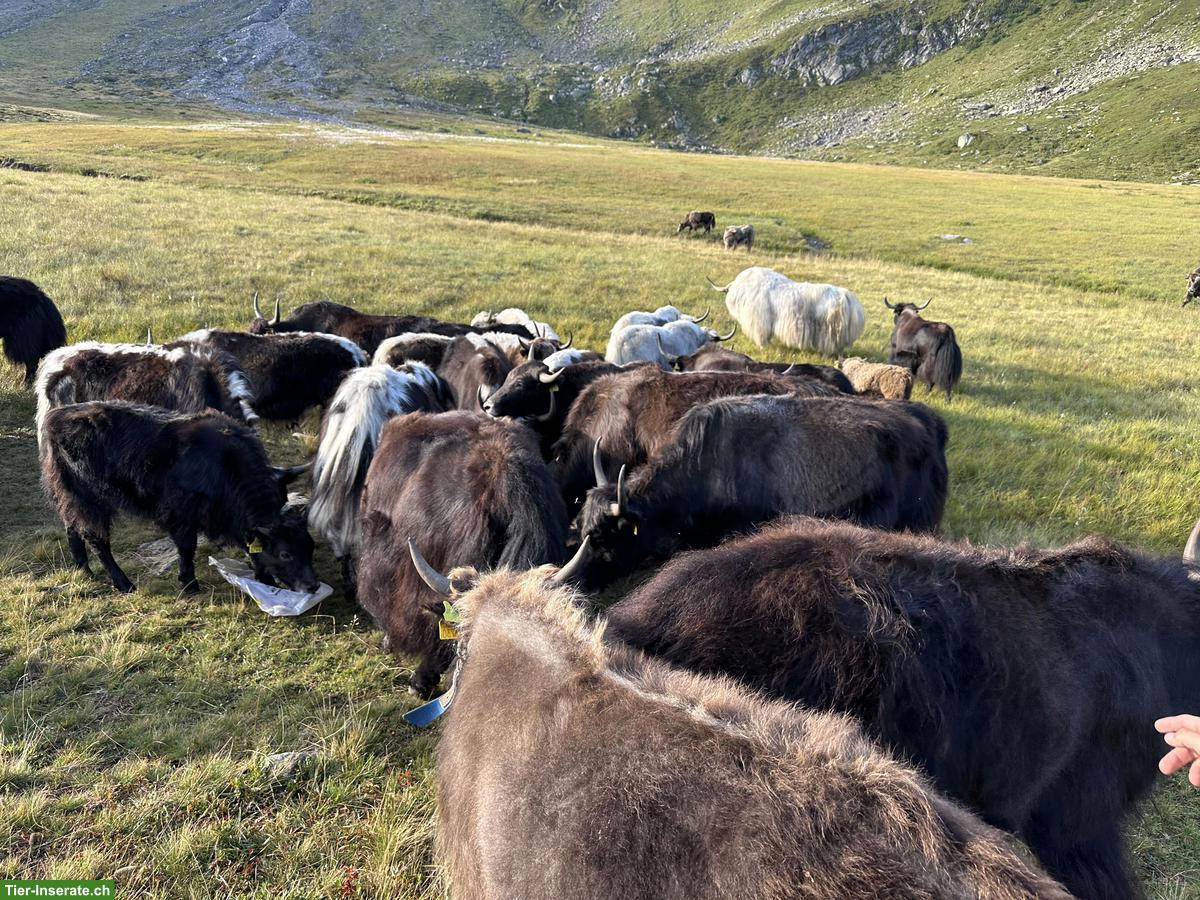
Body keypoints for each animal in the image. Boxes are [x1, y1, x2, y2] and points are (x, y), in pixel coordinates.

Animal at [40, 401, 317, 595]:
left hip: (69, 496)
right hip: (88, 500)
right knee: (96, 539)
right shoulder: (180, 515)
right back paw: (124, 583)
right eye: (285, 554)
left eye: (310, 546)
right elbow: (187, 548)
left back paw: (83, 569)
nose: (312, 586)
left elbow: (250, 546)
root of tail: (56, 416)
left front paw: (265, 579)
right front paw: (189, 583)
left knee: (72, 528)